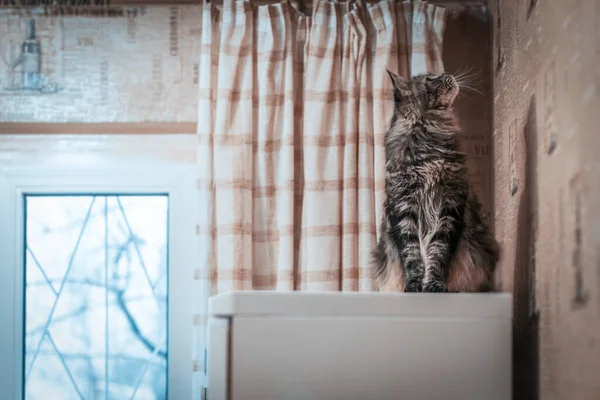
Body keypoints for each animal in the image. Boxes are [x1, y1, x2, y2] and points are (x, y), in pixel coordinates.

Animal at [372, 70, 500, 292]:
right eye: (430, 79)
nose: (448, 74)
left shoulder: (450, 206)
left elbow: (438, 251)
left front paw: (433, 284)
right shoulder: (404, 208)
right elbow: (412, 254)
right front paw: (414, 285)